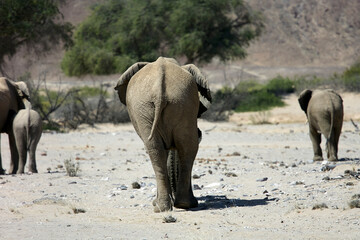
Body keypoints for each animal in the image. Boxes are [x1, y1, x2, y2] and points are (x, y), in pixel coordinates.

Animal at [114, 57, 211, 213]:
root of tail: (160, 88)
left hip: (165, 104)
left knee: (159, 149)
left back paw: (164, 206)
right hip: (177, 102)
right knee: (182, 148)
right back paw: (179, 205)